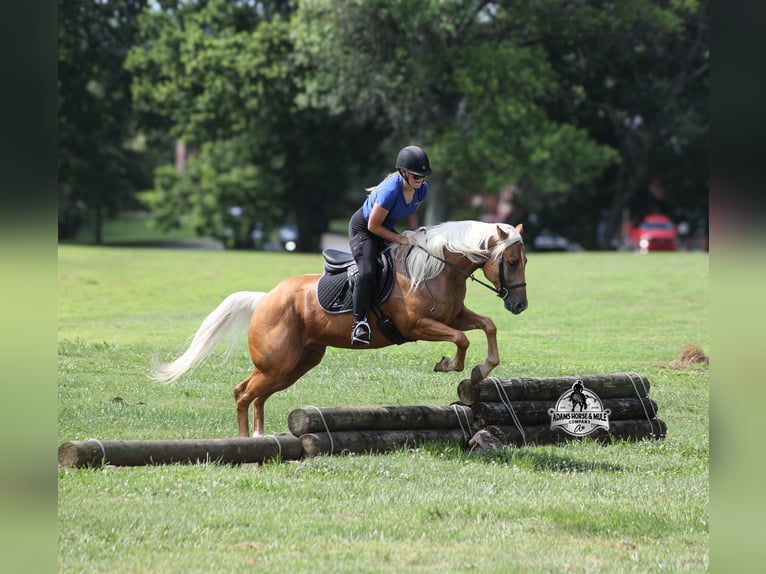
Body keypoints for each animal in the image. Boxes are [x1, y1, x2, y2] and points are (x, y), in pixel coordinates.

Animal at [151, 220, 528, 436]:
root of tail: (265, 299)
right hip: (277, 363)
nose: (520, 305)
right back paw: (247, 444)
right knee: (243, 393)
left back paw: (259, 437)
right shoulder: (419, 325)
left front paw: (482, 370)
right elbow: (462, 339)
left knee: (254, 393)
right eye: (511, 262)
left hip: (295, 364)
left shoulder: (454, 315)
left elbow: (487, 326)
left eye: (524, 261)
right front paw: (449, 365)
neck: (435, 268)